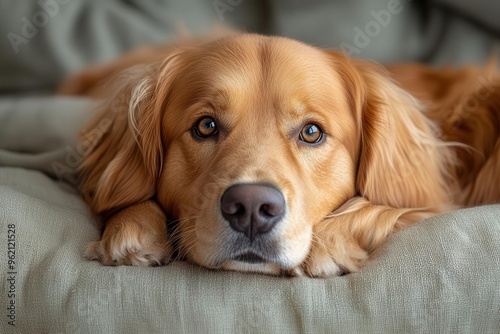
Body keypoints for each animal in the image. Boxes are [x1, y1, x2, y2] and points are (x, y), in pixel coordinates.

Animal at [59, 34, 500, 278]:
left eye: (311, 132)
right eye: (206, 126)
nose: (251, 208)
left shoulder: (436, 197)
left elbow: (391, 205)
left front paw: (331, 243)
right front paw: (132, 226)